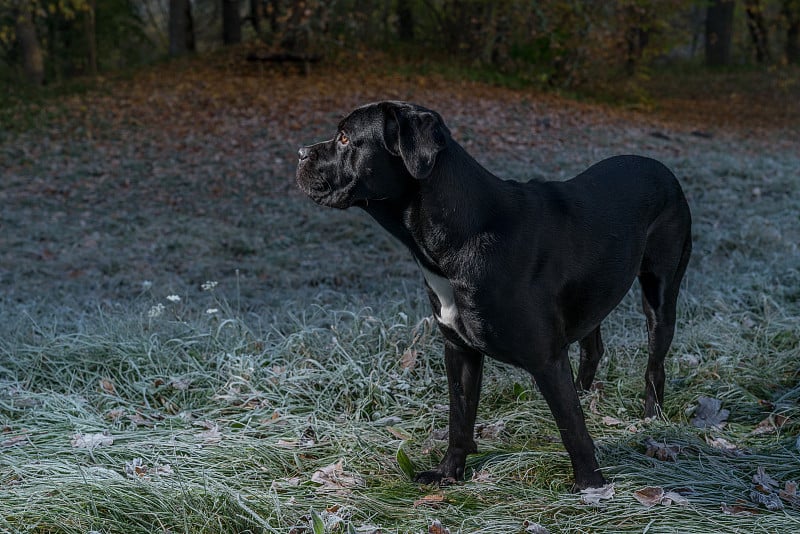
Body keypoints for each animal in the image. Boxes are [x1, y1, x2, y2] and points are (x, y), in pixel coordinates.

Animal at [296, 100, 692, 490]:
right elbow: (460, 417)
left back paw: (650, 420)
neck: (460, 234)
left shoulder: (545, 358)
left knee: (654, 366)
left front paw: (591, 487)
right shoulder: (459, 350)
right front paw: (448, 473)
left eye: (345, 138)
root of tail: (660, 167)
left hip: (660, 296)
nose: (300, 153)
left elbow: (572, 426)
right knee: (592, 346)